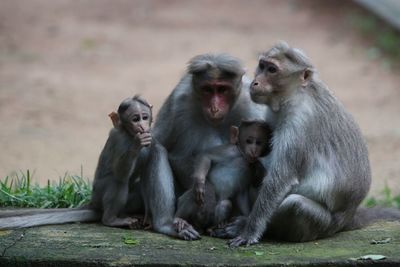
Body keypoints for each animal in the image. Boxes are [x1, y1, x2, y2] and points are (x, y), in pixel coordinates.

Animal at [0, 96, 199, 241]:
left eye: (145, 117)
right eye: (135, 119)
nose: (142, 126)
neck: (129, 134)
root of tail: (93, 202)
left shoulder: (151, 138)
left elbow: (150, 157)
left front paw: (149, 217)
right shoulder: (119, 139)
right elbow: (121, 172)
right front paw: (136, 145)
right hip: (100, 193)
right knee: (118, 181)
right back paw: (111, 220)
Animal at [217, 40, 398, 248]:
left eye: (272, 70)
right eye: (262, 66)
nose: (255, 82)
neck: (295, 95)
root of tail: (349, 217)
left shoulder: (299, 124)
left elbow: (280, 180)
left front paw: (249, 231)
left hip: (324, 225)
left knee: (296, 204)